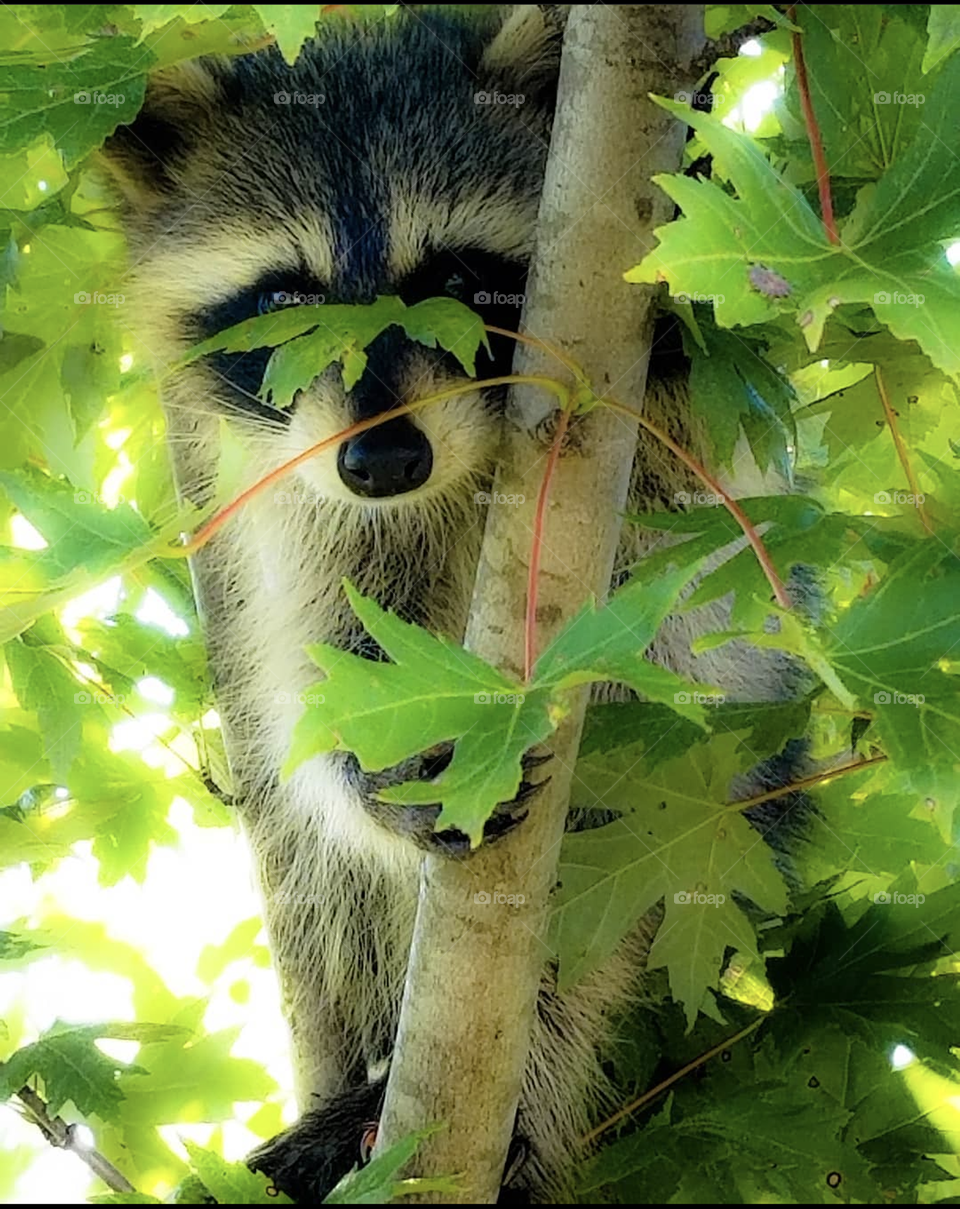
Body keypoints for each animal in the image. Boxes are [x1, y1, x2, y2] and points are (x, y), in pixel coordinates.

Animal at [101, 6, 807, 1201]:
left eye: (459, 278)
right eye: (285, 300)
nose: (384, 459)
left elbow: (706, 540)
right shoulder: (299, 495)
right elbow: (319, 660)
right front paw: (373, 758)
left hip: (711, 816)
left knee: (604, 923)